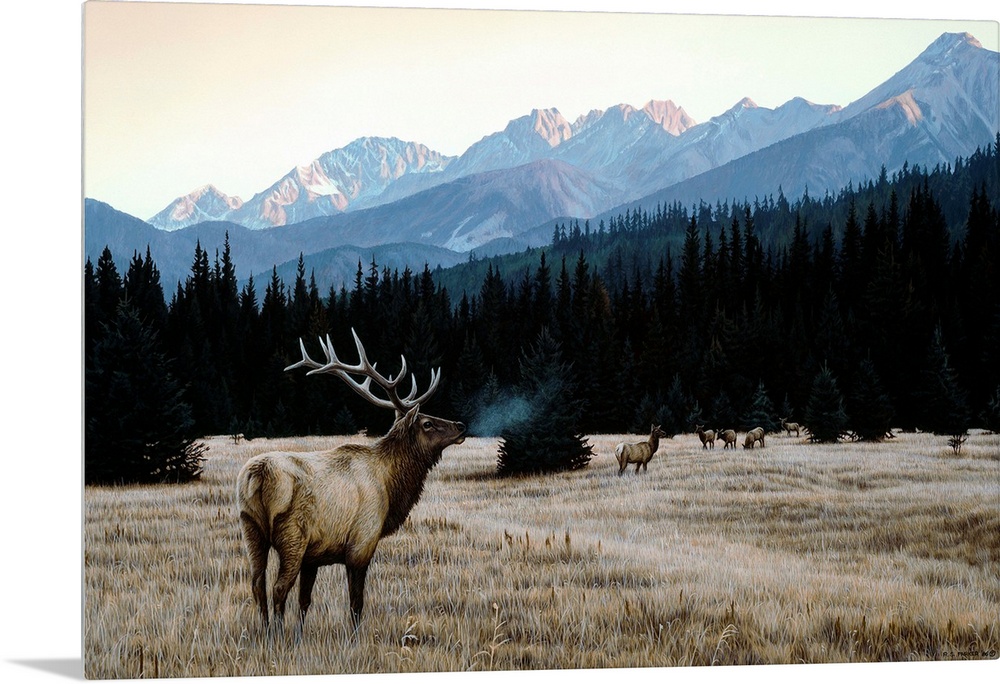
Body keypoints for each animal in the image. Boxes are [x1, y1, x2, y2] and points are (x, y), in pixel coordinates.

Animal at [236, 328, 466, 632]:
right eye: (427, 423)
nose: (461, 426)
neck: (391, 486)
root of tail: (258, 474)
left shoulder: (313, 556)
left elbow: (305, 601)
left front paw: (300, 634)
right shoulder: (362, 542)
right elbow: (356, 603)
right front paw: (355, 636)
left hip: (250, 527)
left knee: (256, 584)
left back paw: (265, 631)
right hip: (292, 534)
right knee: (278, 588)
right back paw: (277, 634)